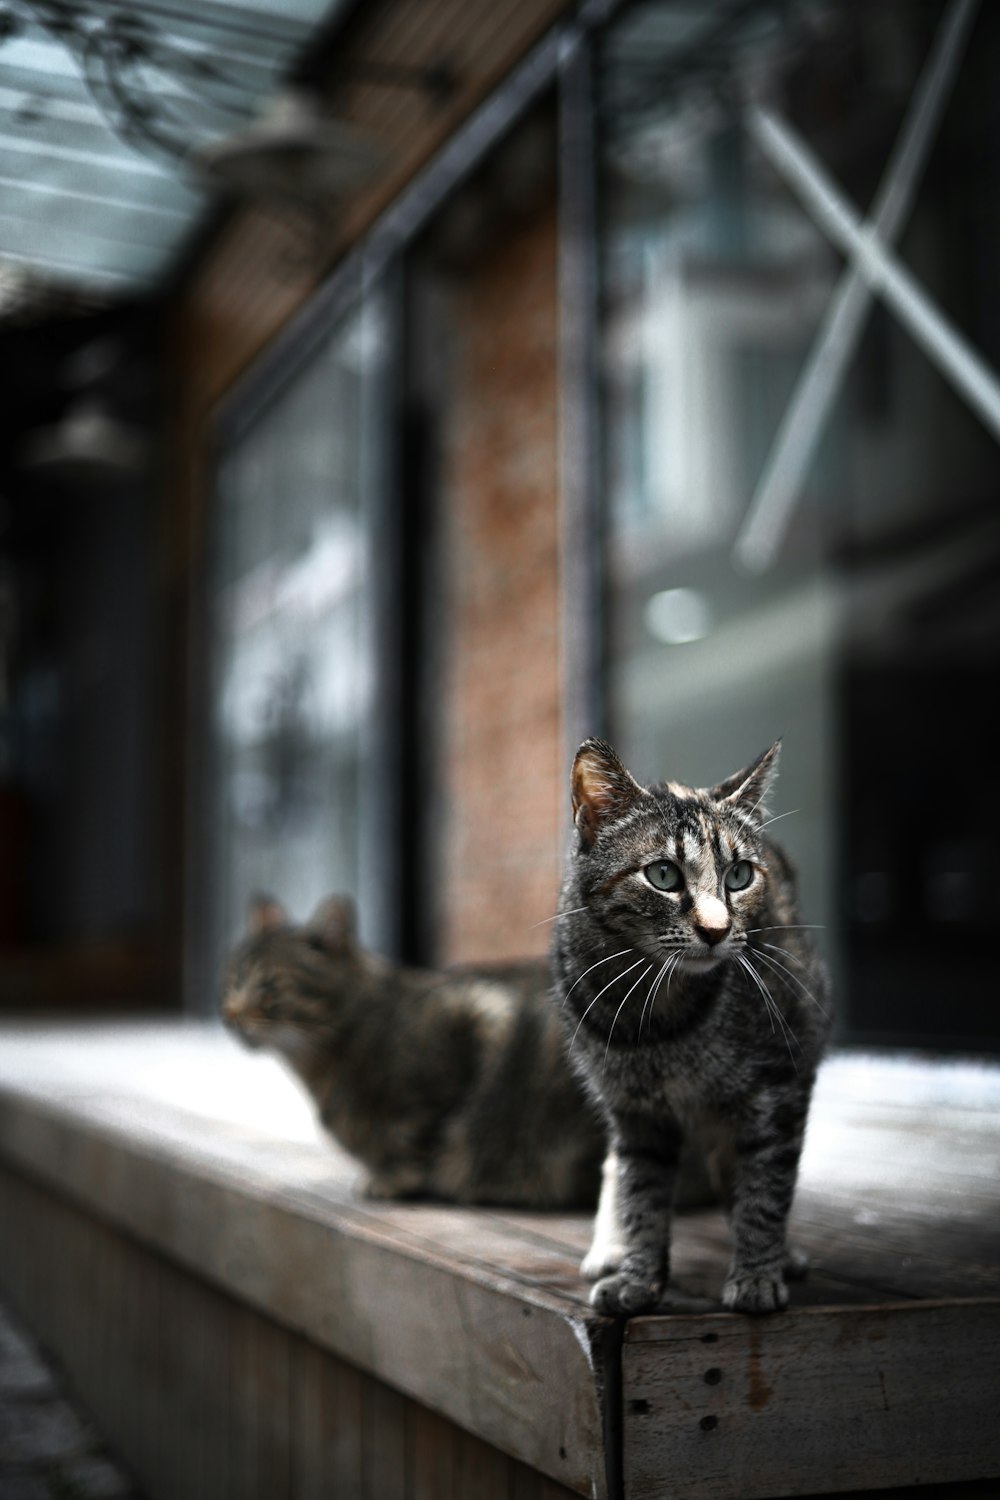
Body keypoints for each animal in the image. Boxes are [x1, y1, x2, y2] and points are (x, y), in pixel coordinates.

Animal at [221, 888, 605, 1206]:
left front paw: (393, 1180)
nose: (230, 1014)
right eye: (233, 980)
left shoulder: (467, 1025)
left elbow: (417, 1135)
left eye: (268, 986)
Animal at [551, 738, 833, 1314]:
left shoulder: (779, 1085)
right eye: (663, 875)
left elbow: (765, 1187)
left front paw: (757, 1274)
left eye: (739, 876)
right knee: (617, 1167)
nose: (717, 929)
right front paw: (638, 1277)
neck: (653, 1014)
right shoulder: (635, 1111)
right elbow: (642, 1195)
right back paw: (610, 1246)